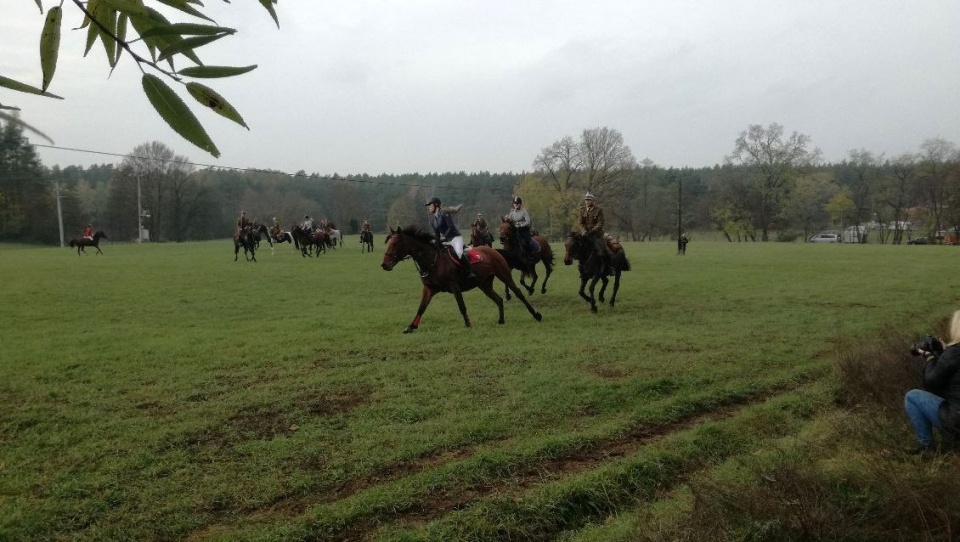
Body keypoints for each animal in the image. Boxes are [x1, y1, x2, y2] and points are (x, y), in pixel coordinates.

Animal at [384, 224, 548, 332]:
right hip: (484, 284)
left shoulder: (454, 285)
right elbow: (422, 307)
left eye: (395, 244)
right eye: (388, 243)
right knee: (498, 299)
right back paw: (501, 320)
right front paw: (411, 326)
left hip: (504, 275)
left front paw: (468, 324)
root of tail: (494, 250)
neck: (433, 260)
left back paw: (536, 314)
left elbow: (461, 305)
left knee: (518, 293)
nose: (384, 264)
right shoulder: (429, 288)